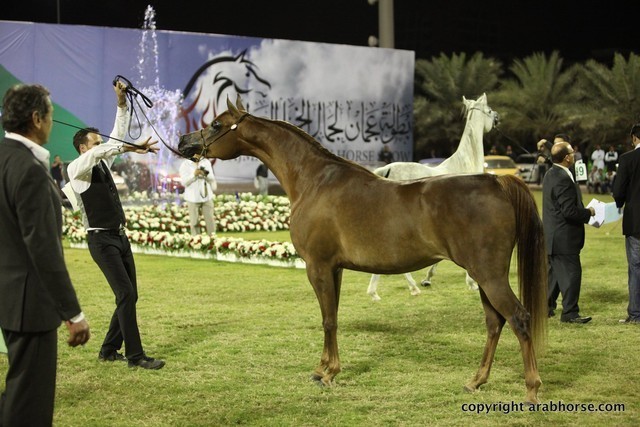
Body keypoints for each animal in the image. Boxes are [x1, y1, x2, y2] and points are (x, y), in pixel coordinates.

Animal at [367, 93, 497, 301]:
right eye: (490, 110)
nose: (498, 118)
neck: (464, 163)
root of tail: (387, 169)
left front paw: (428, 279)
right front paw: (472, 283)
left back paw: (376, 292)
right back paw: (411, 287)